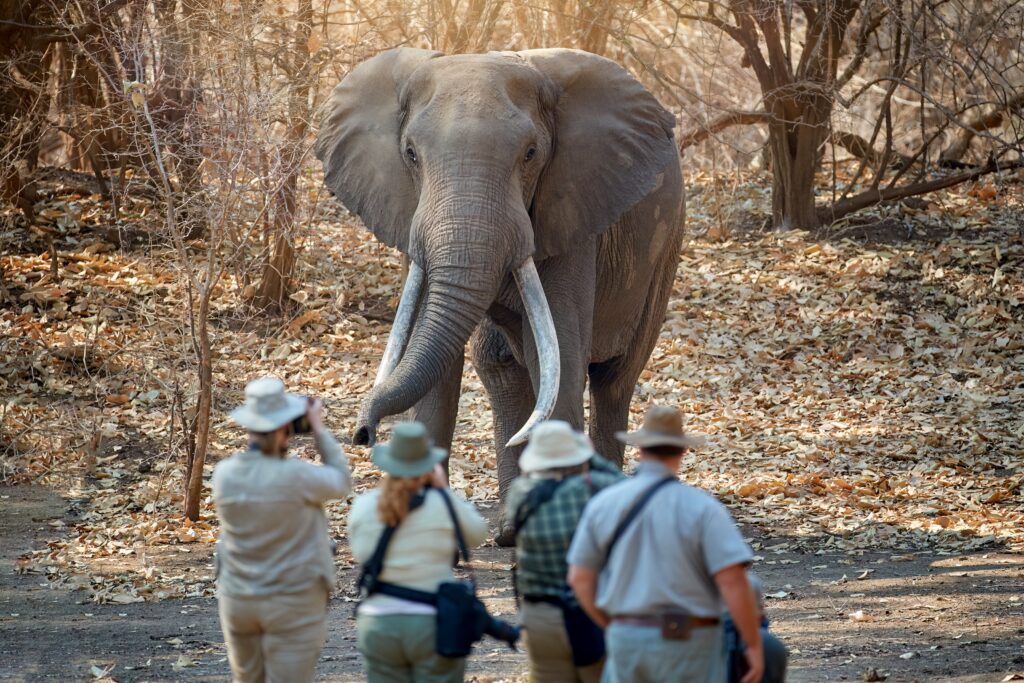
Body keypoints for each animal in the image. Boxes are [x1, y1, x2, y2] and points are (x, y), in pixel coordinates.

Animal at [315, 48, 684, 544]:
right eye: (410, 154)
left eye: (531, 154)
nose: (362, 433)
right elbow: (438, 370)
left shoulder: (571, 213)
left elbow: (560, 358)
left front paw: (557, 537)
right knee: (502, 366)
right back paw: (511, 529)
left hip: (664, 251)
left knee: (613, 380)